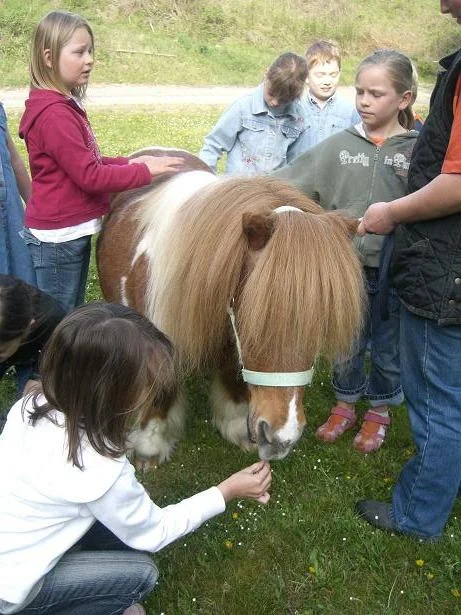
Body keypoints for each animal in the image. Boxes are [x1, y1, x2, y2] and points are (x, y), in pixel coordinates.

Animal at [97, 149, 362, 466]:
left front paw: (235, 426)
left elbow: (232, 376)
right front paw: (150, 446)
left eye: (320, 324)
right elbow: (162, 392)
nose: (281, 439)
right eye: (260, 318)